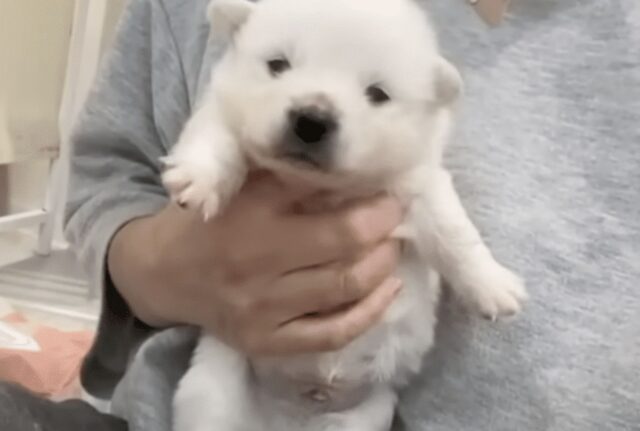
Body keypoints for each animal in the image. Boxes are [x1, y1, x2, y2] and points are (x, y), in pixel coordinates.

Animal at [165, 0, 528, 430]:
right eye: (278, 65)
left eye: (377, 93)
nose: (311, 119)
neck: (320, 188)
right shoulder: (224, 108)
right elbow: (216, 134)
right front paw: (198, 176)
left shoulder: (419, 183)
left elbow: (453, 231)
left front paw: (493, 285)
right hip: (214, 388)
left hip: (369, 411)